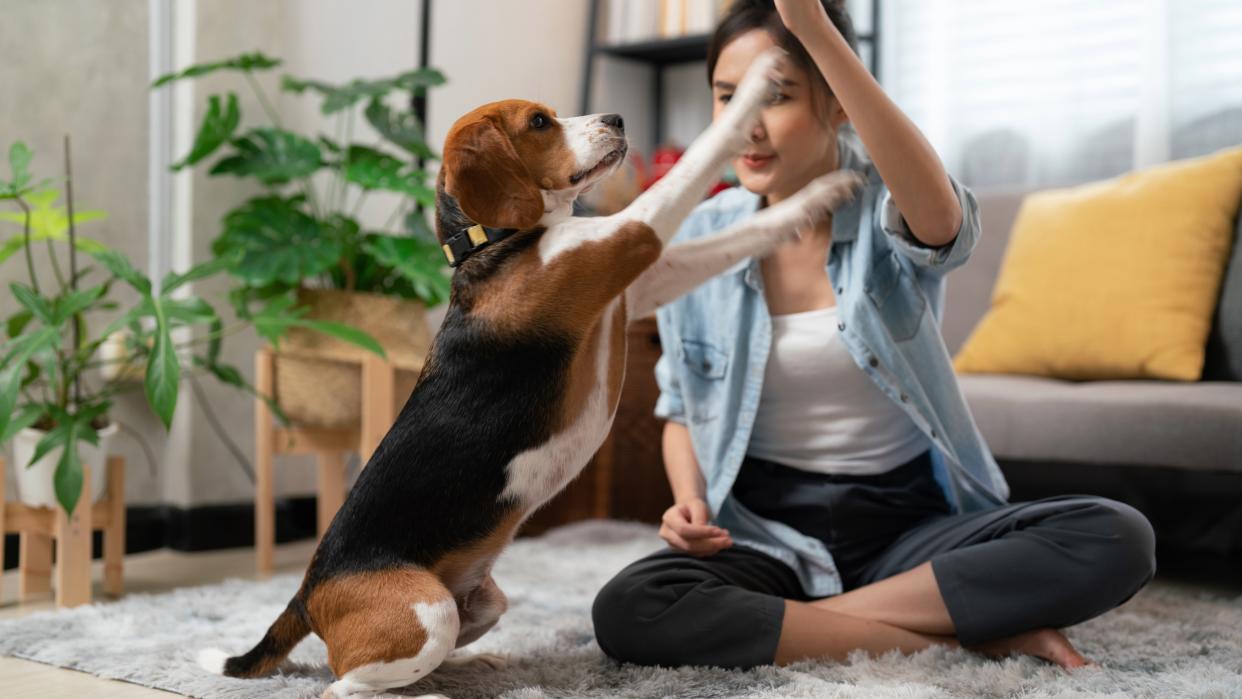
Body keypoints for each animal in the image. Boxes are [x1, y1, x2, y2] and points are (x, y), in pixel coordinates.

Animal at [203, 46, 859, 695]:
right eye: (540, 122)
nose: (617, 118)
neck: (493, 241)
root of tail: (305, 593)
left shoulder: (639, 280)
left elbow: (748, 232)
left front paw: (823, 192)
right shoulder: (633, 235)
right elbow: (702, 154)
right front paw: (761, 78)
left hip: (481, 603)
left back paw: (469, 668)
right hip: (427, 611)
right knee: (341, 685)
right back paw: (432, 691)